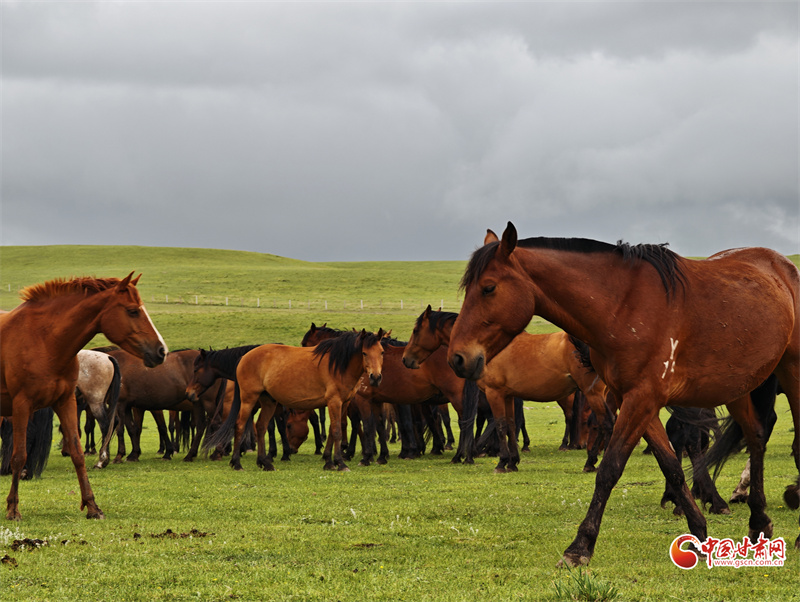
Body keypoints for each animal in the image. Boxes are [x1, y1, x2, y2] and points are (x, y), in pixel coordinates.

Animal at [0, 273, 167, 520]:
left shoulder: (65, 402)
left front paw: (92, 505)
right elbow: (19, 455)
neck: (42, 339)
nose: (162, 351)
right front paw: (13, 508)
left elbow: (77, 452)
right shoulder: (22, 405)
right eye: (133, 311)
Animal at [205, 329, 386, 472]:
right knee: (240, 425)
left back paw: (265, 463)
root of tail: (244, 357)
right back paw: (236, 463)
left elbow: (333, 431)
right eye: (364, 353)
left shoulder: (343, 403)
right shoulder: (334, 402)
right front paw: (340, 463)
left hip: (268, 401)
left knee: (261, 427)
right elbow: (336, 431)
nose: (376, 377)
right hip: (248, 399)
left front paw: (329, 462)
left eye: (382, 352)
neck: (339, 364)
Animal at [403, 306, 616, 473]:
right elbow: (512, 426)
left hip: (593, 394)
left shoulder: (494, 394)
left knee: (605, 422)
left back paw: (592, 462)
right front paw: (513, 462)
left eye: (416, 330)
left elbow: (500, 426)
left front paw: (502, 462)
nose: (406, 359)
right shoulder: (508, 396)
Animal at [447, 222, 800, 563]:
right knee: (756, 437)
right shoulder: (634, 400)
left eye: (488, 287)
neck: (621, 307)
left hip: (790, 373)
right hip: (738, 387)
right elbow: (671, 467)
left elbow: (609, 469)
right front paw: (699, 534)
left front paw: (580, 547)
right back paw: (758, 522)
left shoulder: (641, 400)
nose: (457, 358)